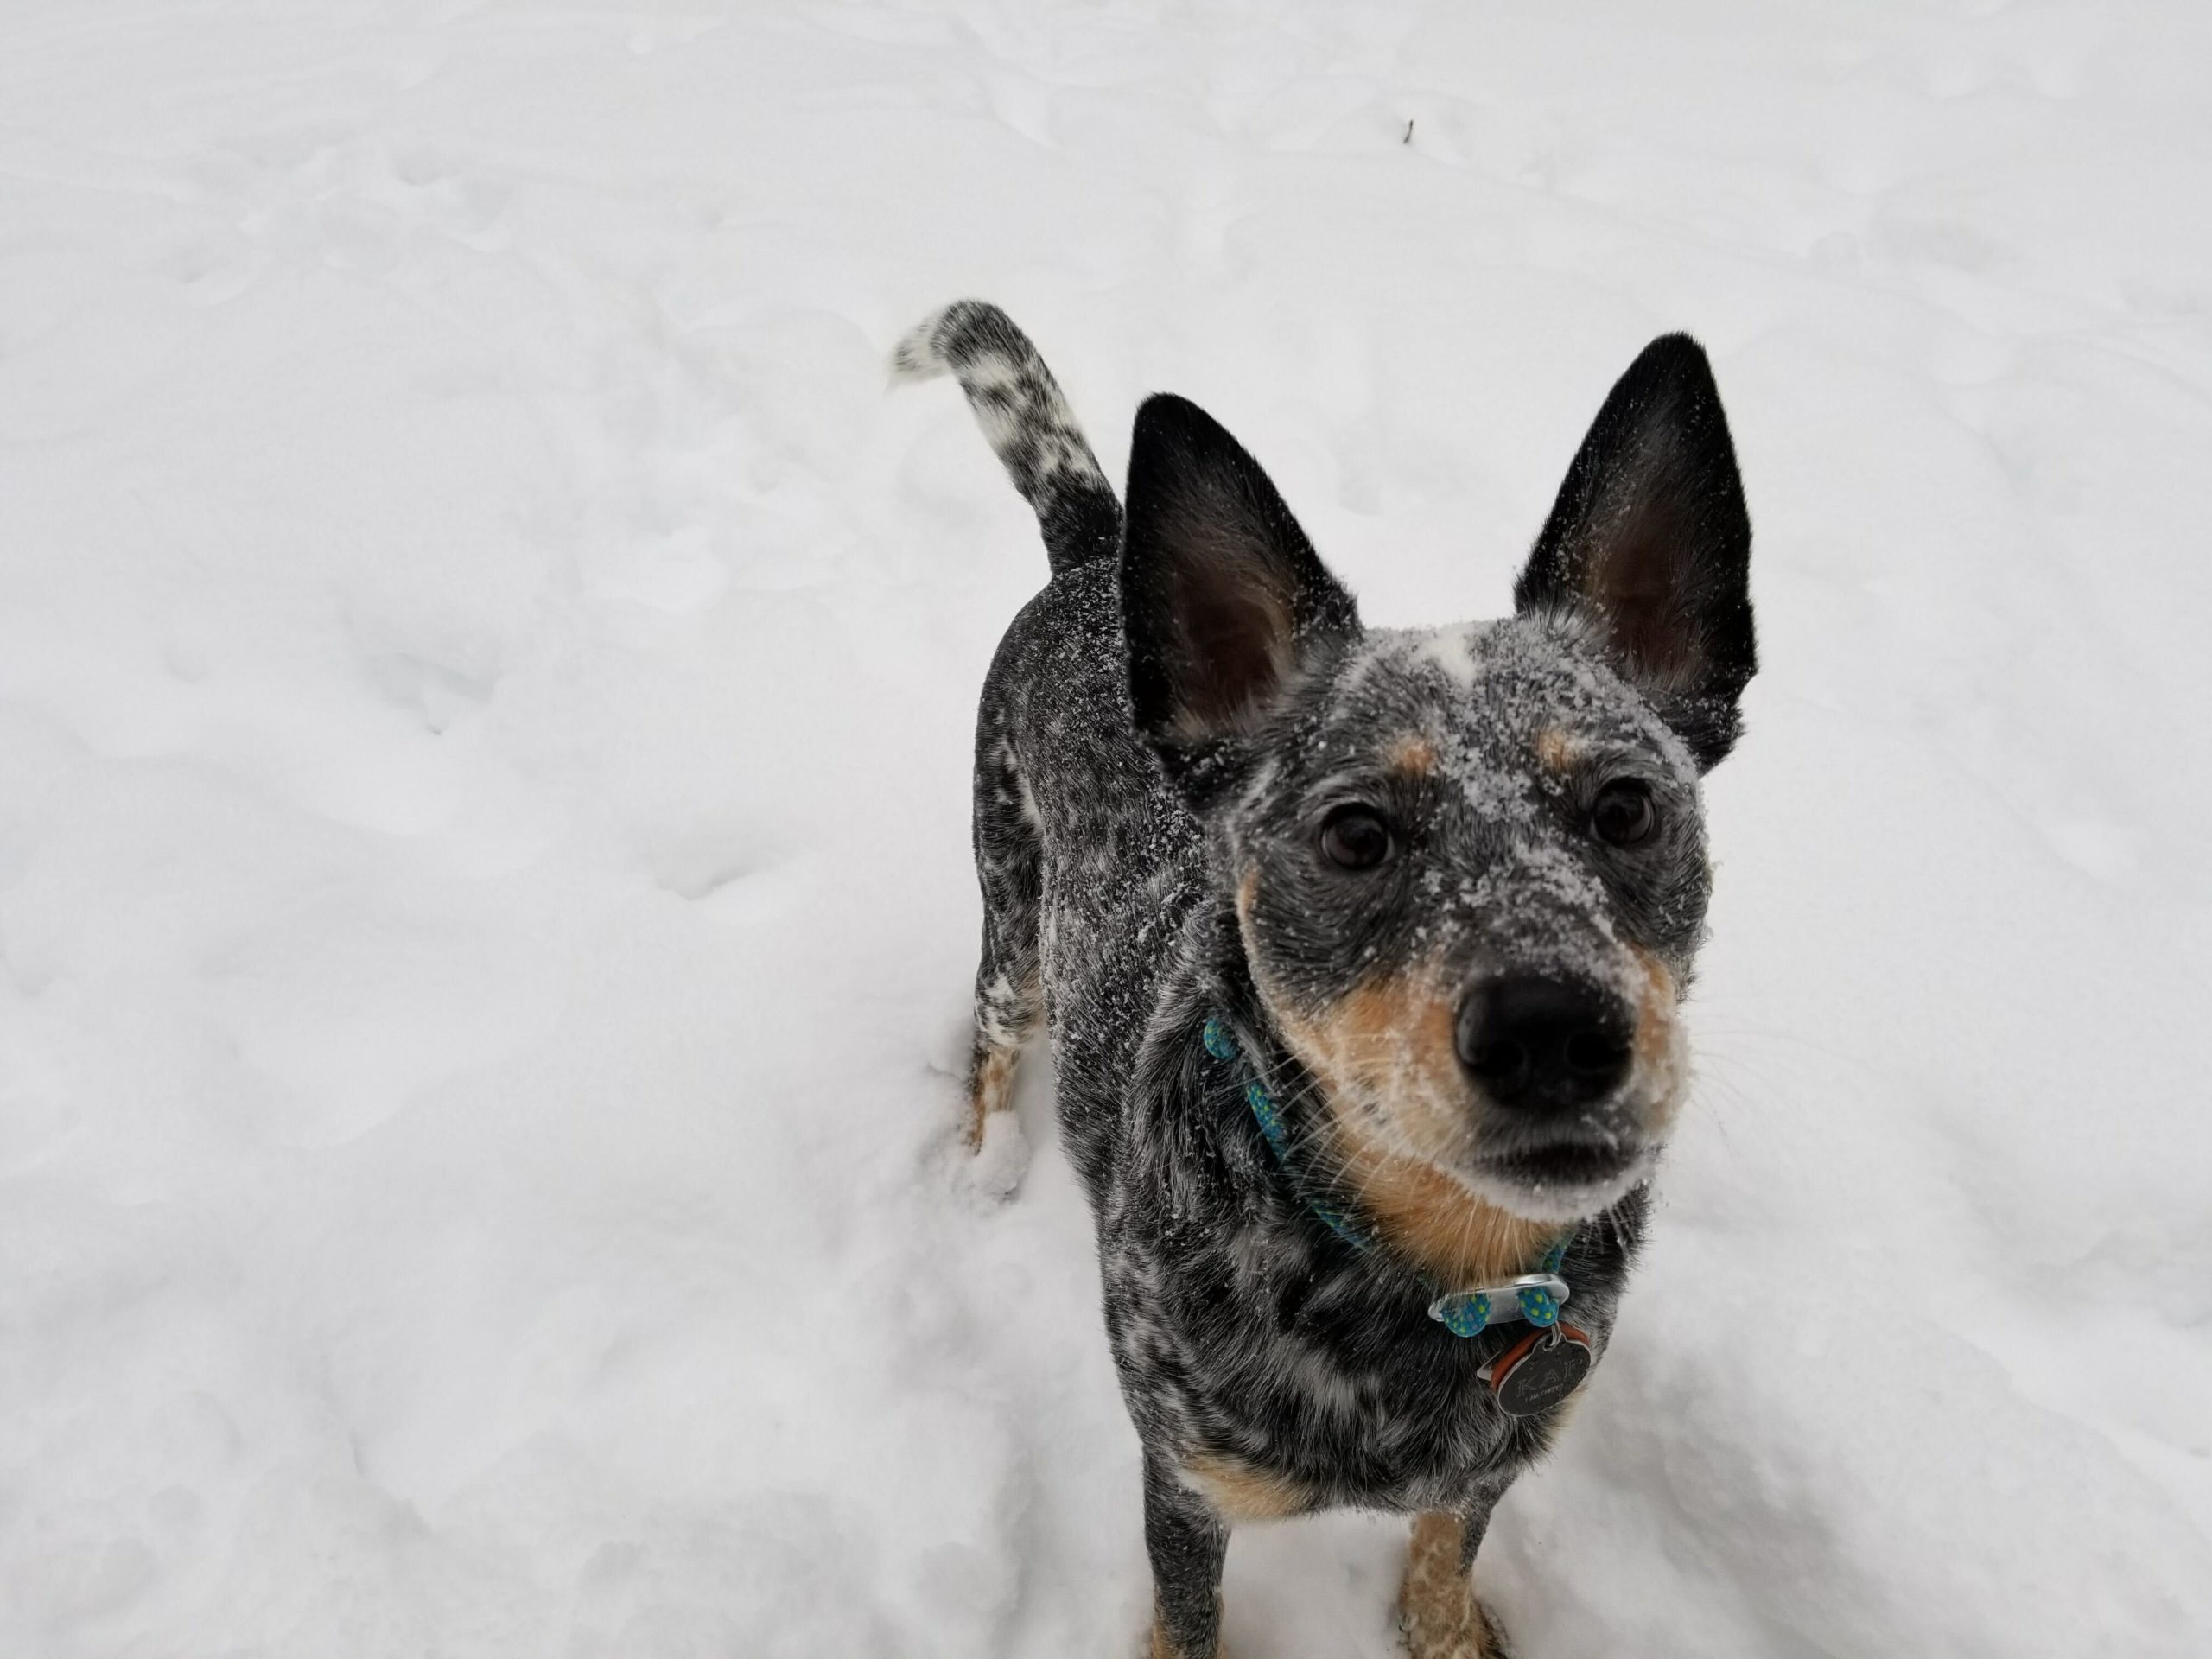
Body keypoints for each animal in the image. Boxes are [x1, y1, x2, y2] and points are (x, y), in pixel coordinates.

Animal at [889, 302, 1751, 1659]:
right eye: (1354, 833)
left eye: (1626, 806)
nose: (1554, 1030)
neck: (1421, 1279)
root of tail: (1099, 551)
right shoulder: (1183, 1480)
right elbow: (1187, 1621)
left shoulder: (1500, 1449)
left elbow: (1449, 1553)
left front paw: (1448, 1633)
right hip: (1011, 911)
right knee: (988, 1042)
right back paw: (985, 1163)